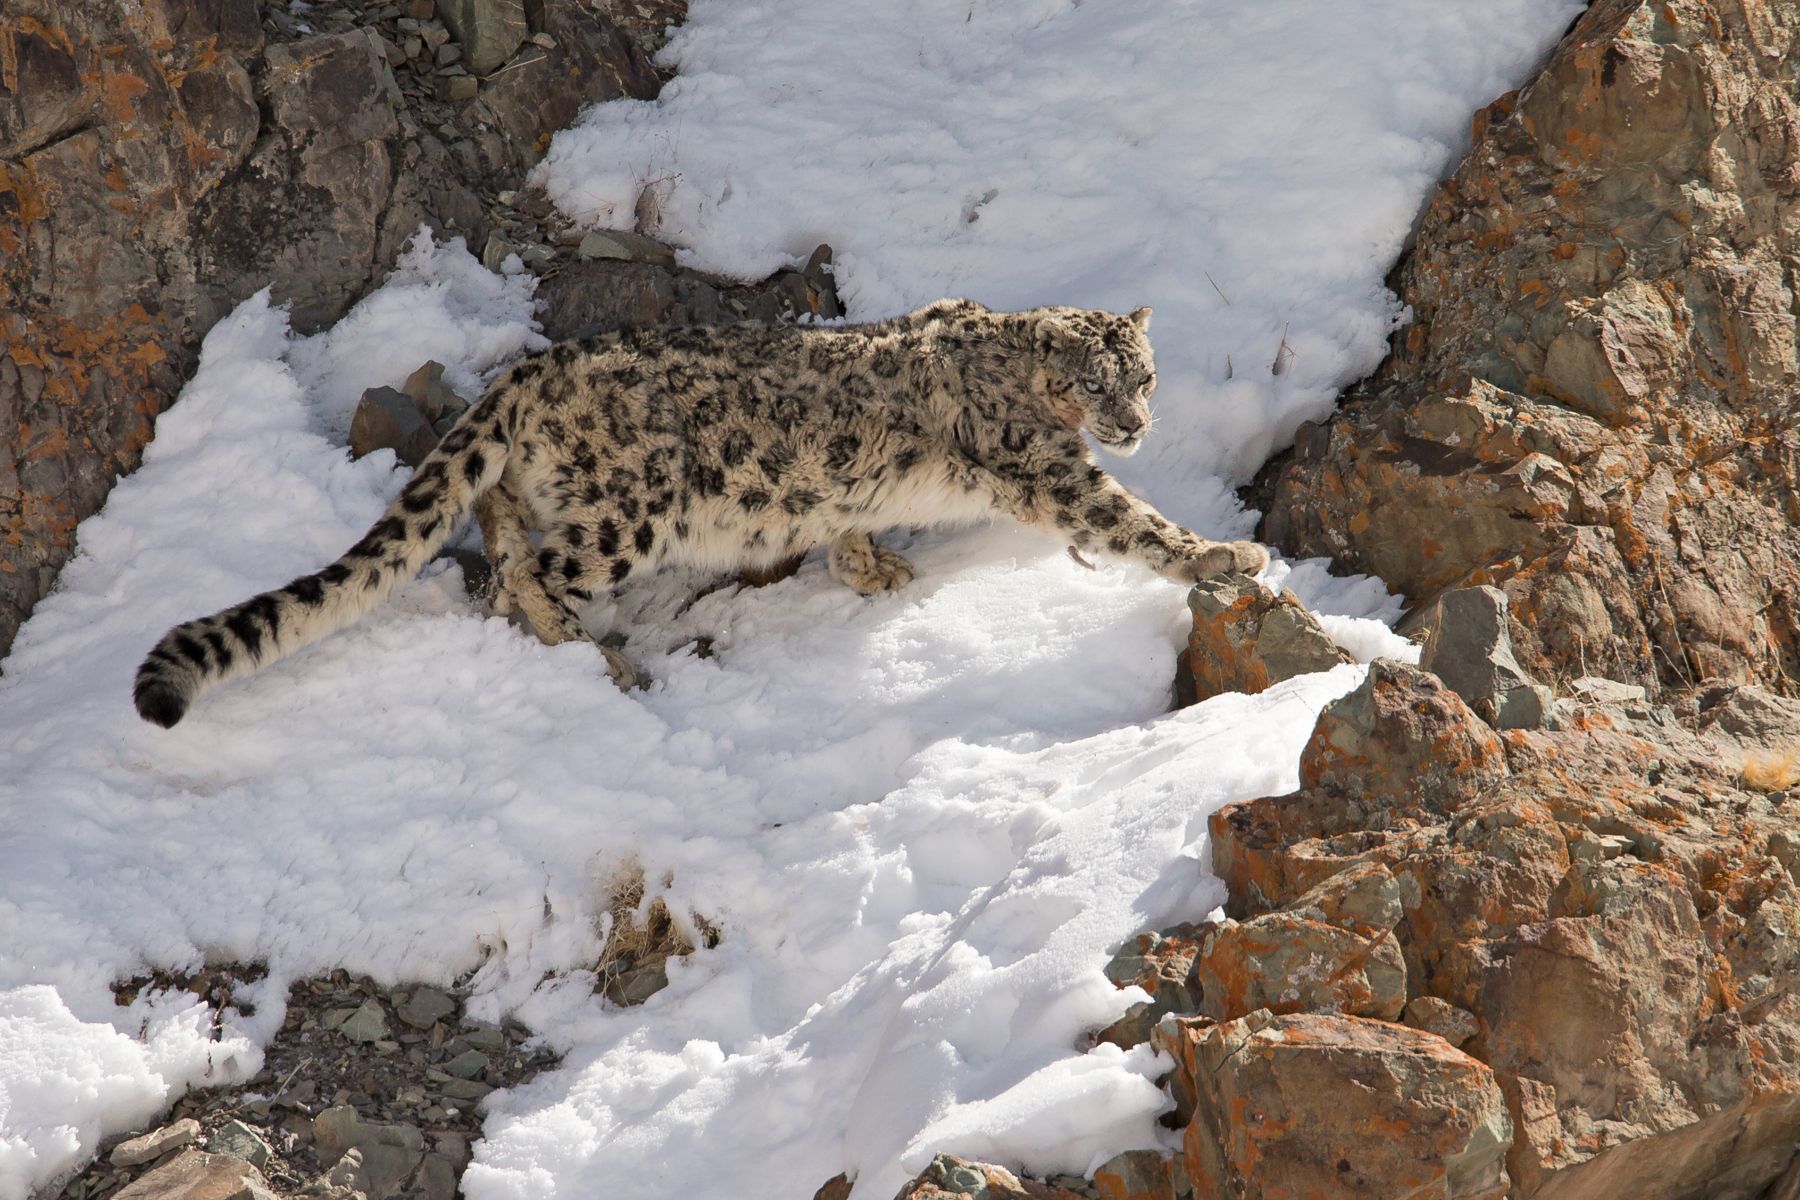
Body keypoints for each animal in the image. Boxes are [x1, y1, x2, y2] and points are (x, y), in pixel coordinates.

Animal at [133, 302, 1274, 734]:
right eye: (1094, 382)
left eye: (1145, 374)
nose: (1134, 422)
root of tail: (534, 370)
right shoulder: (1049, 470)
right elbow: (1131, 521)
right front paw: (1228, 552)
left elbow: (849, 522)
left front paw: (876, 570)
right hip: (631, 511)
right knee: (533, 570)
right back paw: (599, 659)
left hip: (542, 481)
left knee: (498, 520)